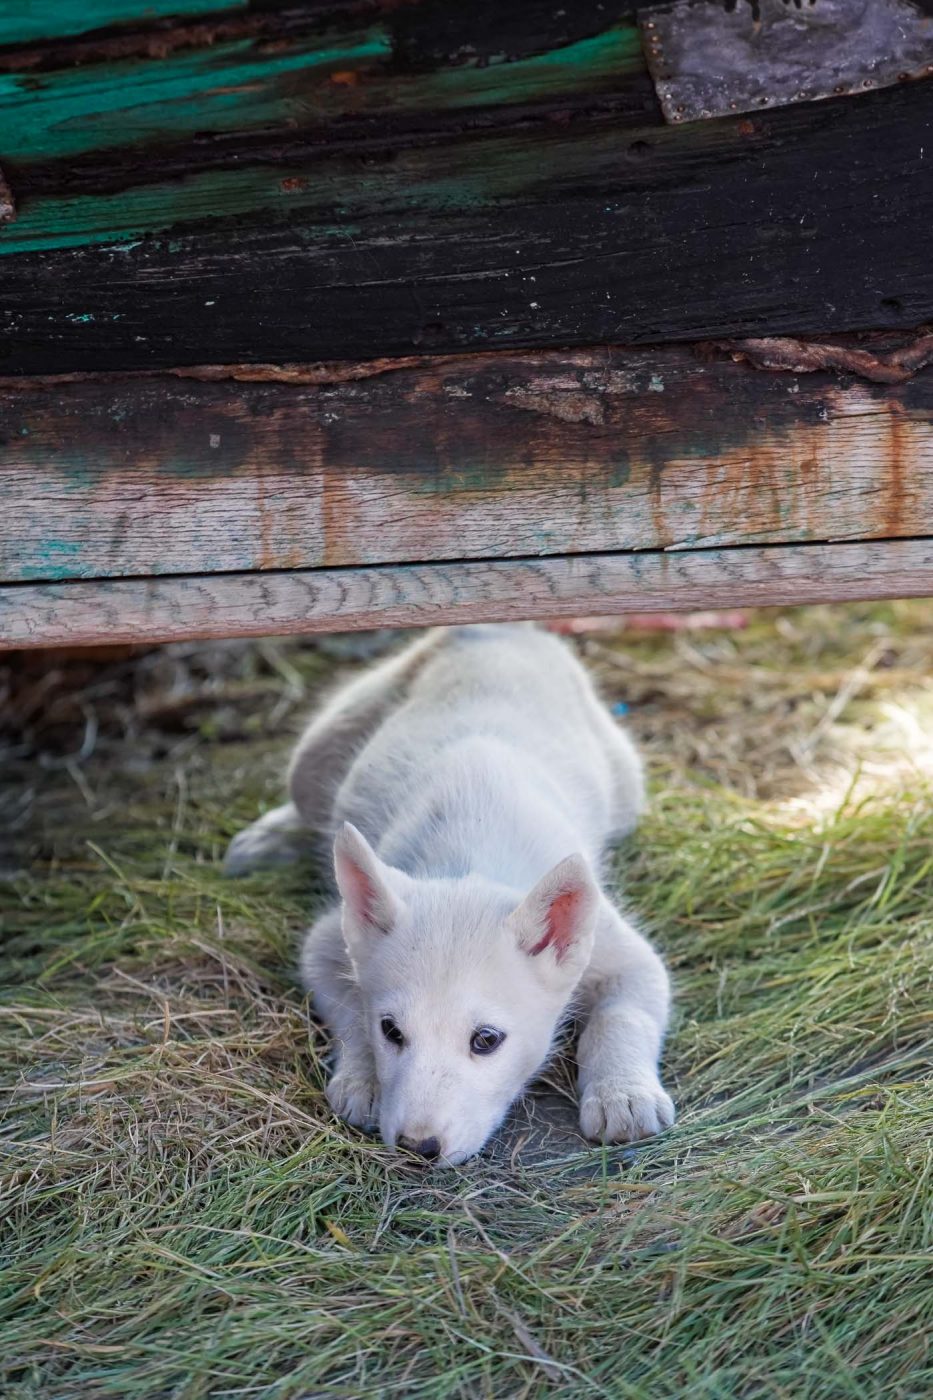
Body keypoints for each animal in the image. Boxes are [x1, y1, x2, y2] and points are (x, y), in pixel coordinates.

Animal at [228, 624, 672, 1159]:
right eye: (392, 1031)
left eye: (486, 1040)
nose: (417, 1148)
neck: (471, 854)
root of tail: (488, 630)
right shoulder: (326, 942)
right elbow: (352, 1012)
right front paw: (363, 1082)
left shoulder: (625, 954)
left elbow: (623, 1017)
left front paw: (623, 1096)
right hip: (318, 751)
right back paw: (267, 840)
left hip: (626, 782)